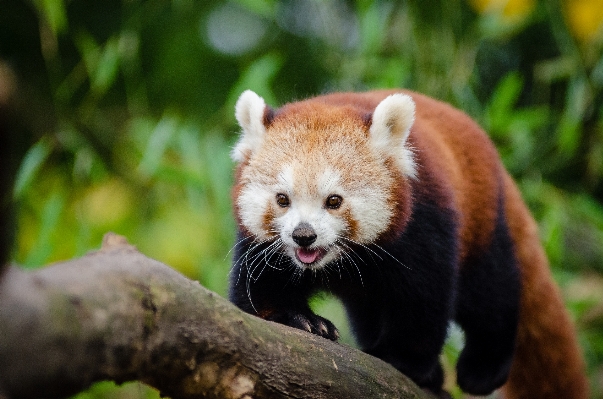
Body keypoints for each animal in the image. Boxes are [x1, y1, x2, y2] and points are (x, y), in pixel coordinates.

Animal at [228, 89, 588, 398]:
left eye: (334, 201)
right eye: (282, 199)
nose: (304, 235)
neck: (338, 260)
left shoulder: (424, 223)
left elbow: (422, 302)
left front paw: (400, 358)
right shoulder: (260, 249)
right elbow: (257, 295)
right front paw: (301, 319)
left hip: (481, 220)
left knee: (491, 290)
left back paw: (484, 368)